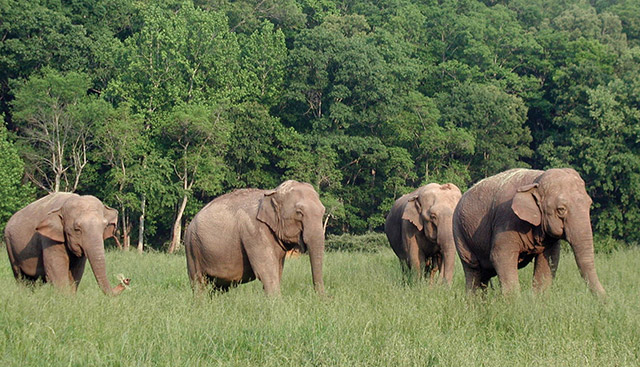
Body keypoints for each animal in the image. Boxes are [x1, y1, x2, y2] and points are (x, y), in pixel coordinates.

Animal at [184, 180, 324, 298]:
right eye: (299, 213)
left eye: (323, 211)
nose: (319, 300)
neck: (272, 193)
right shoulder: (253, 230)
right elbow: (266, 271)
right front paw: (278, 304)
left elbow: (278, 270)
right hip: (192, 248)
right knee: (198, 282)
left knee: (218, 286)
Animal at [452, 168, 608, 298]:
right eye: (561, 210)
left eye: (589, 204)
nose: (607, 302)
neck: (536, 180)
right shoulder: (506, 219)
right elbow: (500, 256)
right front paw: (514, 305)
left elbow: (550, 259)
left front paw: (538, 301)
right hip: (460, 233)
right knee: (473, 270)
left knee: (484, 275)